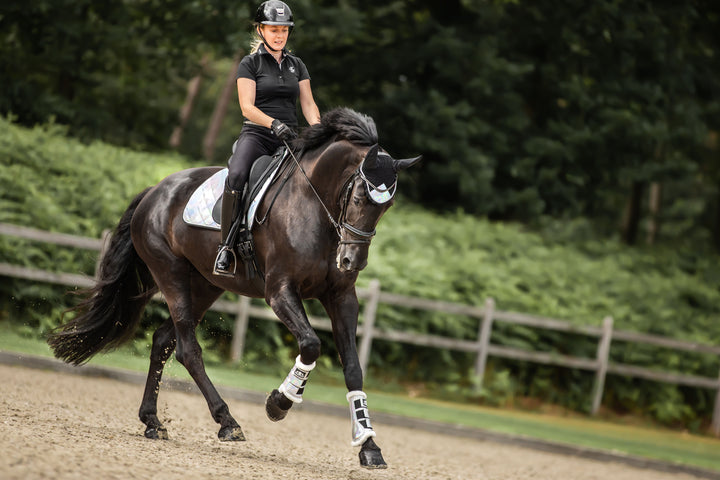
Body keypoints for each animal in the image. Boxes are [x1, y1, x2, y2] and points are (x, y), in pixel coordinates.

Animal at [47, 108, 422, 468]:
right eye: (359, 197)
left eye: (387, 206)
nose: (351, 261)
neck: (315, 204)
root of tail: (154, 191)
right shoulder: (279, 291)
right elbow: (311, 344)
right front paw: (279, 402)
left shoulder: (342, 297)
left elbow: (353, 368)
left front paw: (369, 445)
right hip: (171, 274)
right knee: (188, 350)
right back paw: (227, 421)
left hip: (205, 285)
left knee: (164, 341)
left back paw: (152, 421)